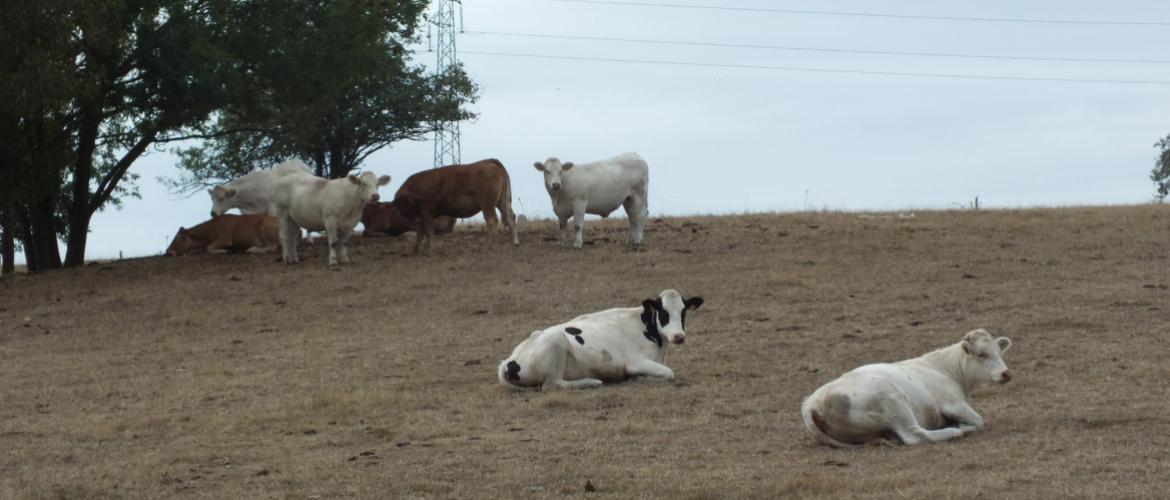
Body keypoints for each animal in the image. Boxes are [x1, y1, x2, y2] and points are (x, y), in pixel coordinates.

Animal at [390, 159, 519, 254]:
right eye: (402, 205)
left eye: (409, 203)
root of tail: (490, 162)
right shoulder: (421, 217)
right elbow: (420, 231)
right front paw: (416, 249)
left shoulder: (426, 212)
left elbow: (428, 231)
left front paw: (428, 249)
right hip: (503, 202)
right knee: (510, 217)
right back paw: (515, 242)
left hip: (487, 204)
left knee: (492, 221)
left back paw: (490, 245)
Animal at [496, 289, 702, 391]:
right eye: (662, 312)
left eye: (683, 311)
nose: (678, 336)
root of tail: (508, 360)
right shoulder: (635, 363)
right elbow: (669, 373)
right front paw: (641, 378)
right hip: (556, 341)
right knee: (553, 384)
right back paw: (591, 382)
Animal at [800, 327, 1010, 449]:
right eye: (981, 354)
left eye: (999, 352)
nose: (1006, 373)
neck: (945, 368)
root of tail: (812, 404)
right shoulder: (953, 404)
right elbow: (979, 421)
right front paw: (963, 426)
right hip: (894, 403)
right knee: (916, 435)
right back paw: (955, 431)